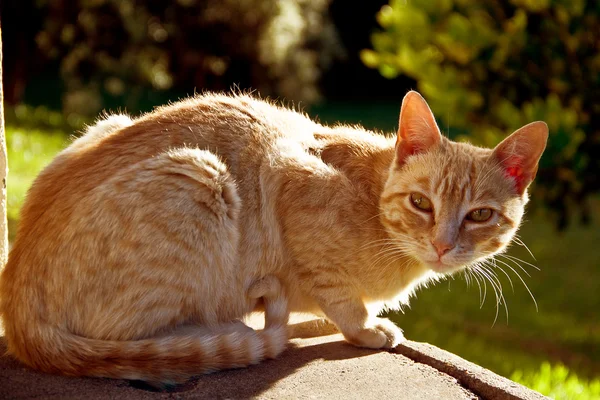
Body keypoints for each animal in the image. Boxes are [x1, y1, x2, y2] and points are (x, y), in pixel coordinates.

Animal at [0, 90, 548, 384]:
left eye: (479, 215)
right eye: (421, 204)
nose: (442, 245)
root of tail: (17, 303)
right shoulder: (289, 174)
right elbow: (343, 300)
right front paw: (364, 327)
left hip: (114, 125)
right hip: (200, 174)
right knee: (135, 341)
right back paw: (245, 330)